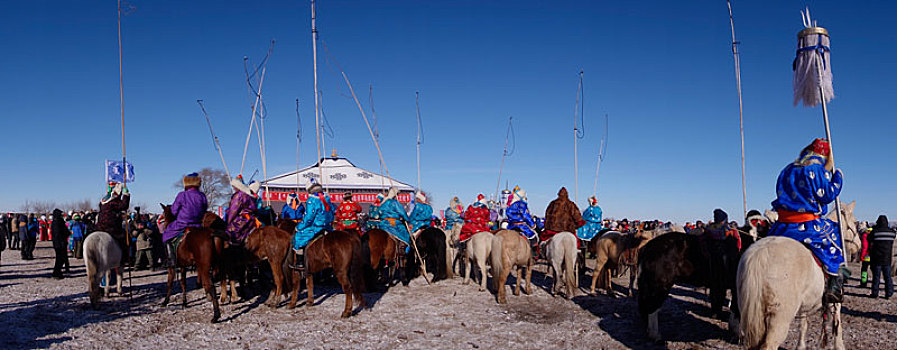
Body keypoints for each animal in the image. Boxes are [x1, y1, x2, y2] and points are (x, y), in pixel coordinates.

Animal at [736, 202, 860, 350]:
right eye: (855, 223)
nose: (859, 245)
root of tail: (760, 255)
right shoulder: (835, 301)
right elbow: (838, 325)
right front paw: (839, 346)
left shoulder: (804, 305)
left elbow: (803, 325)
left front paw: (800, 346)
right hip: (779, 318)